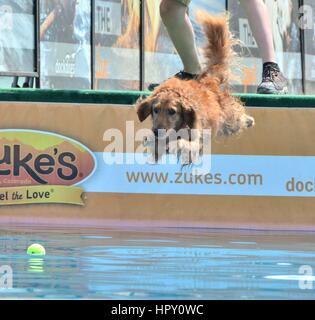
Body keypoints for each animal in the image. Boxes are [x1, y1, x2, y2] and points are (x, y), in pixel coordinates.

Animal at [136, 12, 254, 164]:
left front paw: (176, 145)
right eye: (155, 110)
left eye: (172, 111)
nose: (157, 131)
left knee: (238, 115)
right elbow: (156, 145)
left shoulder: (197, 138)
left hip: (230, 120)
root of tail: (208, 80)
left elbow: (185, 144)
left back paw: (249, 120)